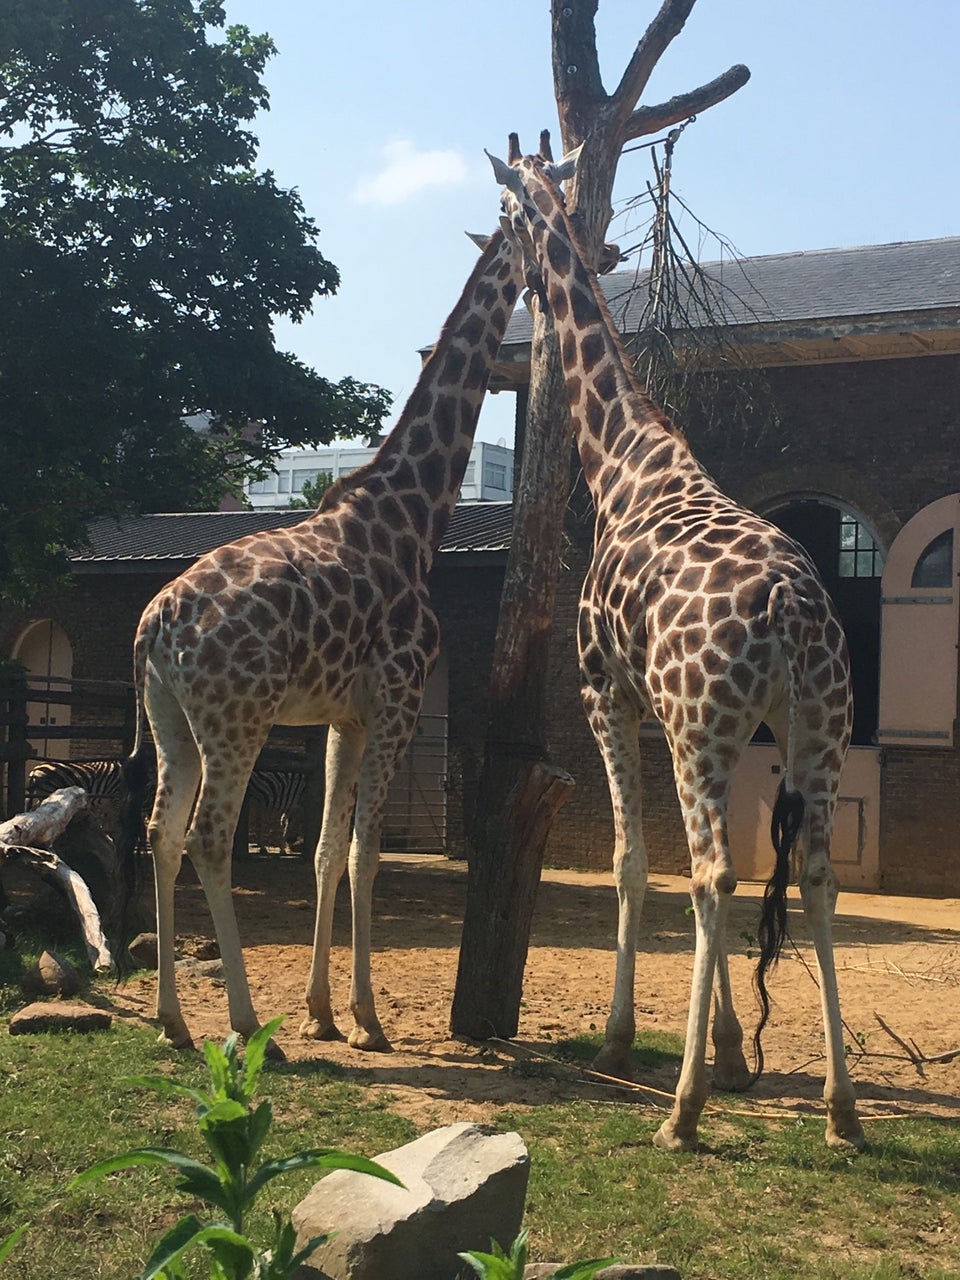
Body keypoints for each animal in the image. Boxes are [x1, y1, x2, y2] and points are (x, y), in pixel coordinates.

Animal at [120, 227, 527, 1059]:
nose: (600, 255)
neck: (412, 521)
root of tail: (155, 626)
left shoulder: (346, 717)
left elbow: (324, 851)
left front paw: (321, 1012)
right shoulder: (399, 703)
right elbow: (366, 854)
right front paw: (367, 1020)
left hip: (173, 722)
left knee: (162, 832)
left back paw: (174, 1021)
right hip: (237, 720)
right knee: (210, 837)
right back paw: (249, 1027)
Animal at [491, 140, 870, 1152]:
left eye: (505, 215)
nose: (509, 271)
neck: (619, 459)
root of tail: (793, 606)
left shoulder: (608, 693)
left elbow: (632, 863)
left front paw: (625, 1043)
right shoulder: (687, 720)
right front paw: (738, 1054)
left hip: (712, 728)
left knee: (714, 874)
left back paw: (681, 1111)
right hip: (814, 730)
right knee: (812, 875)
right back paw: (841, 1111)